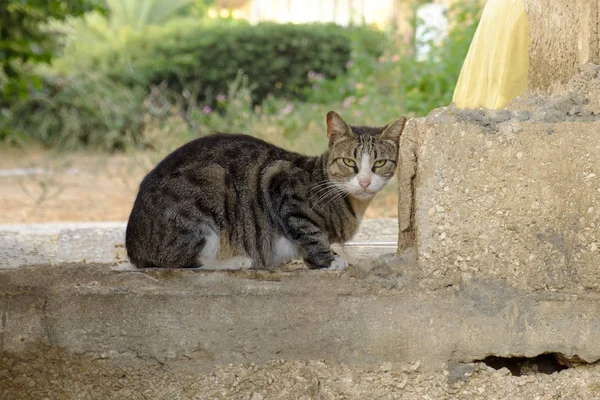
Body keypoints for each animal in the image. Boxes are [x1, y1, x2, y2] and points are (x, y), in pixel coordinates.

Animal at [126, 111, 408, 270]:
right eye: (349, 162)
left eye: (379, 163)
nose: (364, 182)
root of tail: (133, 246)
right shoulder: (281, 184)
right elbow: (311, 233)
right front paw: (328, 260)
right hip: (211, 185)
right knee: (179, 260)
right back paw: (235, 261)